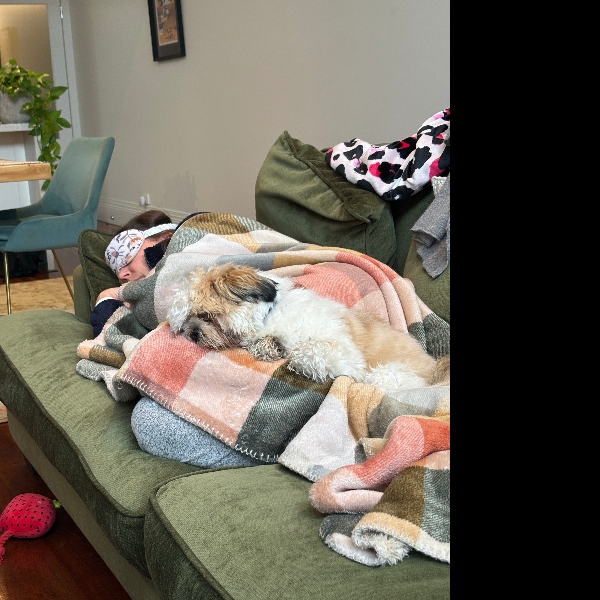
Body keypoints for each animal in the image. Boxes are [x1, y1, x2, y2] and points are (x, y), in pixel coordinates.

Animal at [167, 263, 449, 391]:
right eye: (186, 323)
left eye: (204, 314)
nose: (193, 333)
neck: (270, 316)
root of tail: (436, 367)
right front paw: (270, 347)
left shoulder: (342, 352)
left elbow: (306, 351)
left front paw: (294, 357)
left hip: (388, 376)